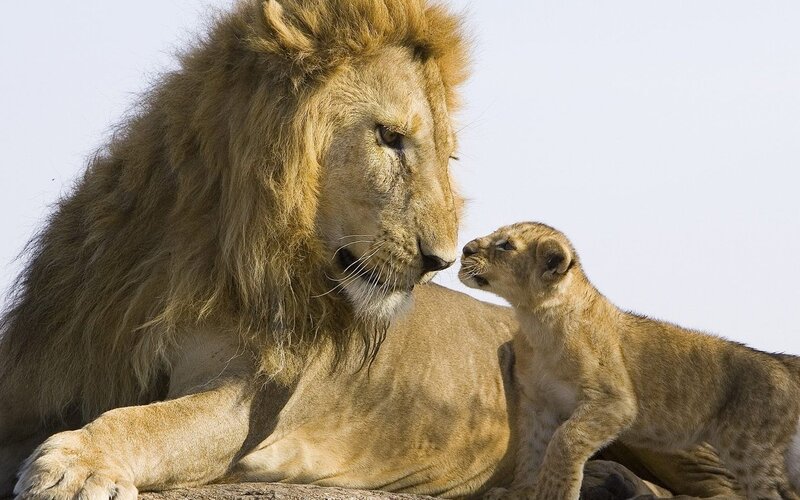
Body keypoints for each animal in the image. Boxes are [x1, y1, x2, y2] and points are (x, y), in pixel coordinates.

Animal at [1, 0, 740, 498]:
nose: (442, 260)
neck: (206, 248)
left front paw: (77, 463)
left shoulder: (246, 399)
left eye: (447, 156)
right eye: (389, 138)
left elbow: (151, 422)